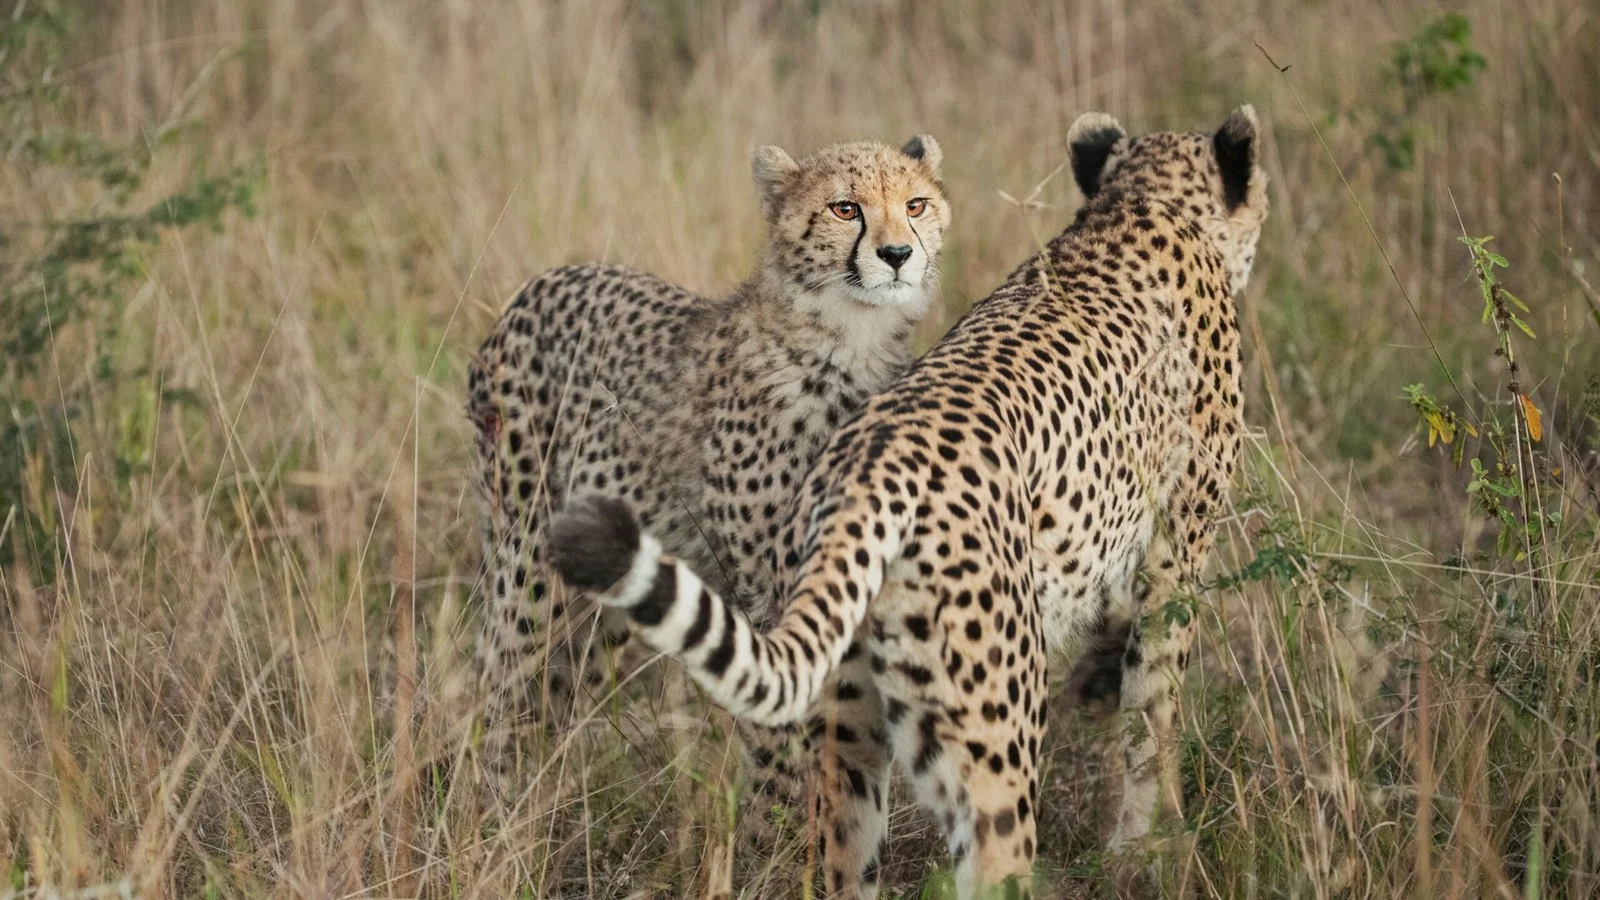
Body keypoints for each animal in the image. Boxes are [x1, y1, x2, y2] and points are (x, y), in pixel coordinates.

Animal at [467, 134, 952, 801]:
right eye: (845, 208)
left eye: (916, 204)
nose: (898, 253)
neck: (852, 340)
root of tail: (536, 285)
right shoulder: (765, 592)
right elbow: (779, 723)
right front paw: (781, 821)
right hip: (527, 559)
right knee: (501, 678)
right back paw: (495, 807)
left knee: (553, 686)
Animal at [547, 106, 1268, 899]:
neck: (1140, 205)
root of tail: (866, 471)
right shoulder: (1175, 556)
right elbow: (1153, 713)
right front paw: (1150, 846)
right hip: (990, 739)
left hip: (848, 740)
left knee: (839, 858)